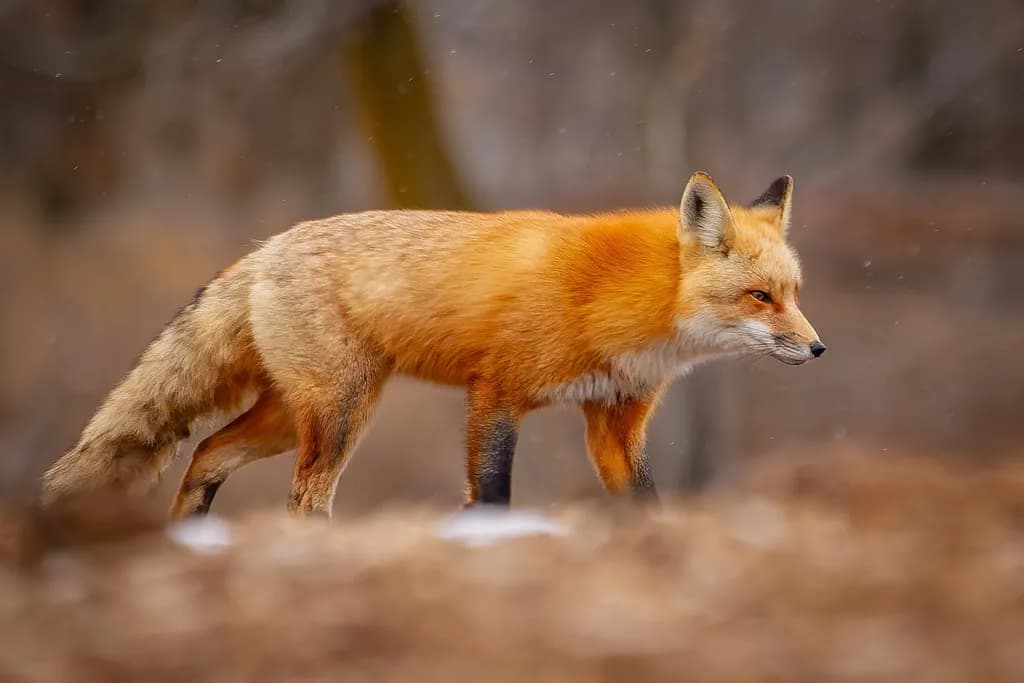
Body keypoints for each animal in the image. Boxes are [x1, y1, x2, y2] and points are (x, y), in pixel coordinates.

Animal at [40, 172, 824, 517]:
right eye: (760, 297)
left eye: (795, 292)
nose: (819, 350)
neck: (615, 302)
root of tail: (265, 247)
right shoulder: (497, 395)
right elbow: (494, 496)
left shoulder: (613, 423)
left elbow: (646, 504)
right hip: (339, 414)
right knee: (305, 492)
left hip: (294, 414)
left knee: (205, 452)